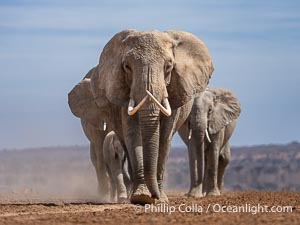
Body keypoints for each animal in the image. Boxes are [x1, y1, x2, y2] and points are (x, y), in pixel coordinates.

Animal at [68, 29, 213, 204]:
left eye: (168, 66)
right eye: (127, 66)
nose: (155, 196)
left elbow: (164, 137)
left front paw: (160, 199)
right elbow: (132, 134)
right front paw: (141, 197)